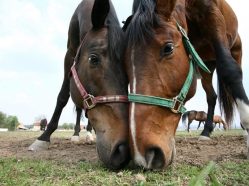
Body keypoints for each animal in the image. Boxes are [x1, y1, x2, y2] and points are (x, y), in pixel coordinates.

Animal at [28, 0, 130, 169]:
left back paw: (89, 135)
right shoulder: (69, 54)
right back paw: (76, 135)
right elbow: (63, 97)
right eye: (93, 59)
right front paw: (44, 137)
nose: (123, 149)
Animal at [124, 0, 249, 169]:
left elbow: (229, 68)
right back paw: (206, 132)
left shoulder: (213, 16)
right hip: (206, 67)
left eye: (168, 48)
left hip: (236, 49)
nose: (142, 154)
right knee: (211, 96)